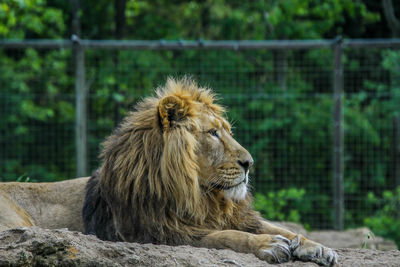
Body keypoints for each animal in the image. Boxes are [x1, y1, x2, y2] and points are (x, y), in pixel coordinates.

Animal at [83, 78, 340, 266]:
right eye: (213, 133)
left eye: (227, 132)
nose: (249, 162)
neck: (200, 196)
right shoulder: (164, 233)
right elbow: (226, 236)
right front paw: (267, 244)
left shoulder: (238, 217)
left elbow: (282, 228)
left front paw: (317, 247)